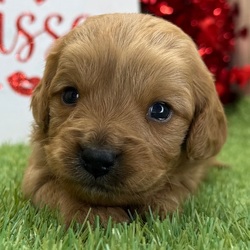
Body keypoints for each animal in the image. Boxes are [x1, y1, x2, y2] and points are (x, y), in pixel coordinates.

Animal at [22, 12, 228, 226]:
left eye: (160, 110)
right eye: (70, 95)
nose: (96, 159)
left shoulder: (189, 175)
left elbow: (175, 190)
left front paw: (157, 206)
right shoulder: (36, 174)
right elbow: (56, 190)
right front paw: (94, 214)